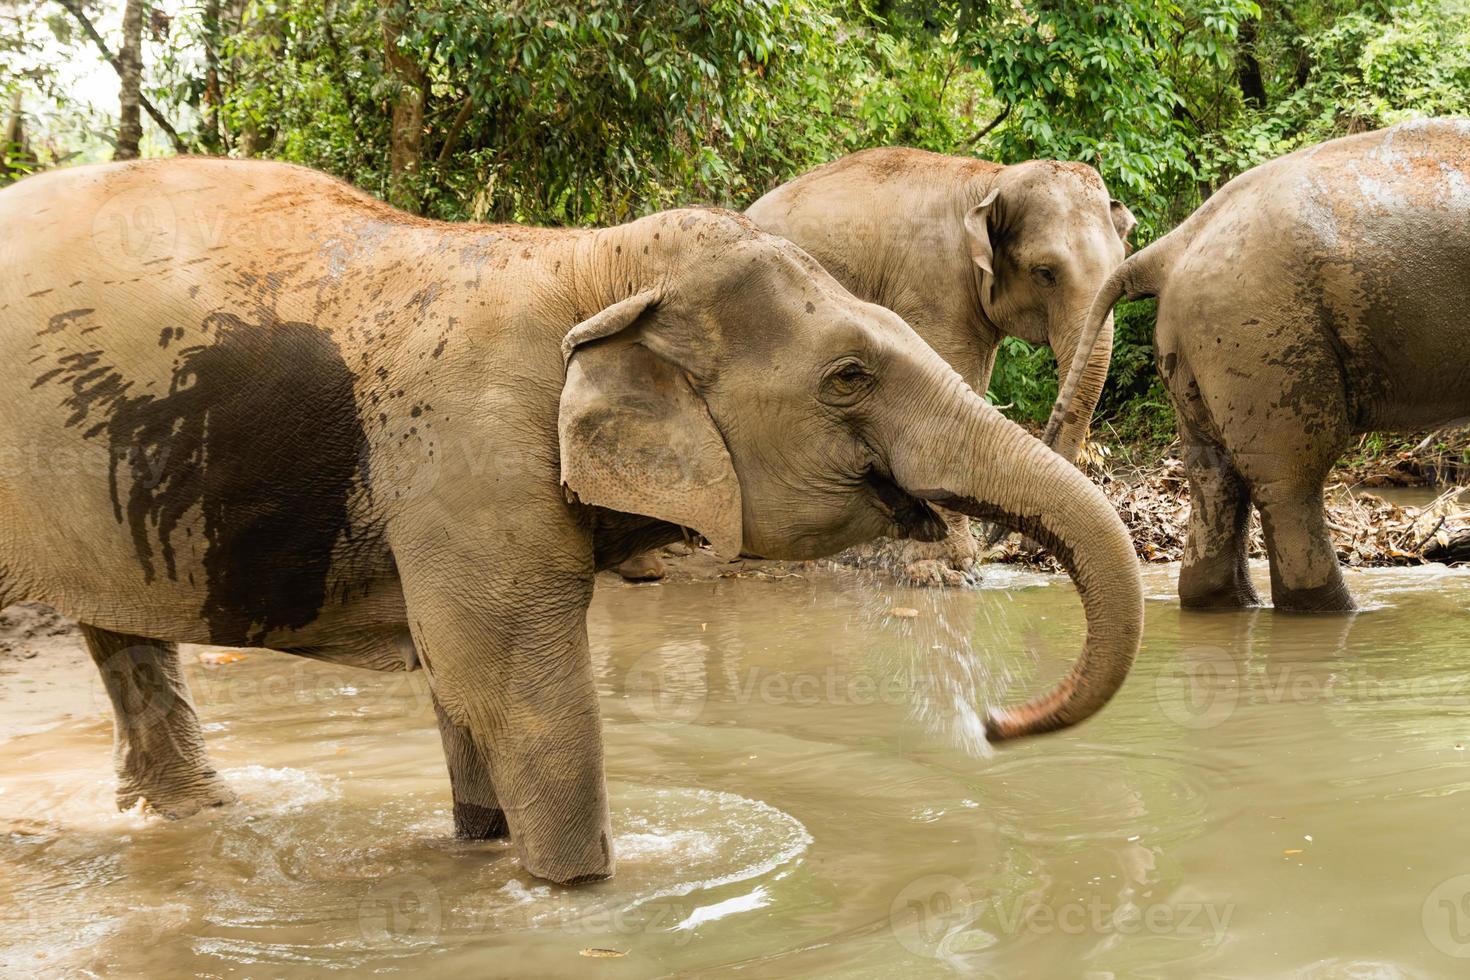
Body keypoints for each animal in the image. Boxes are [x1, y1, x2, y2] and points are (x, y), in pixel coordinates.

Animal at [0, 157, 1140, 887]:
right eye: (848, 377)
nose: (993, 722)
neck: (587, 263)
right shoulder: (473, 453)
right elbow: (520, 695)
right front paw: (581, 896)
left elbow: (463, 690)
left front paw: (482, 855)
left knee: (123, 639)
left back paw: (193, 817)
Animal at [1046, 119, 1470, 614]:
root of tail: (1177, 241)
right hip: (1260, 329)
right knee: (1292, 472)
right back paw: (1332, 610)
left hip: (1195, 337)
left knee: (1212, 471)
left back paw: (1226, 603)